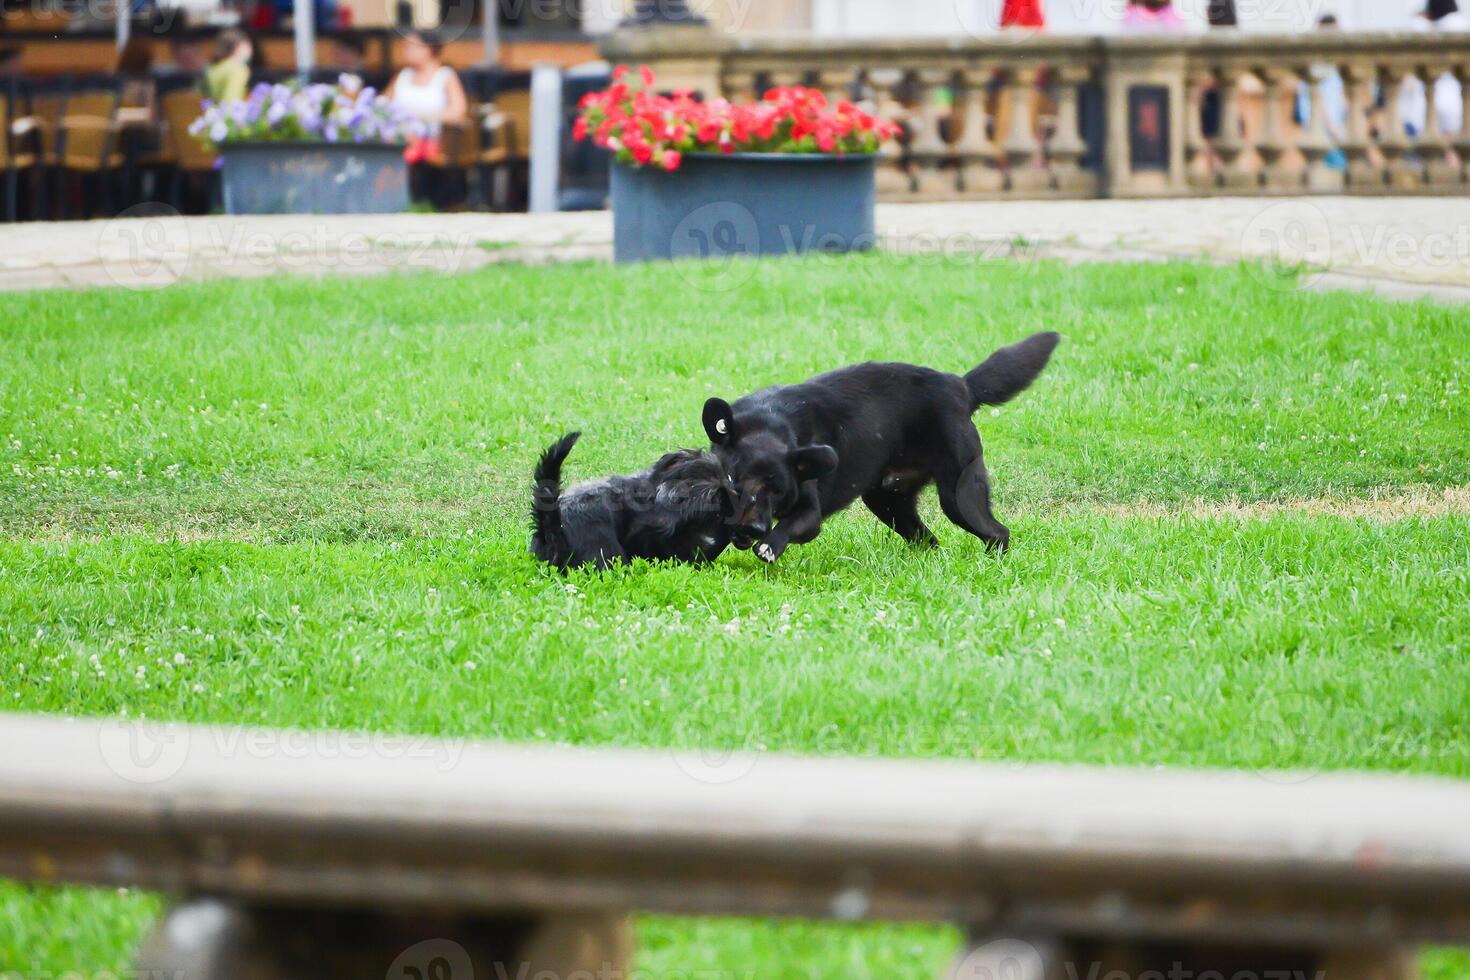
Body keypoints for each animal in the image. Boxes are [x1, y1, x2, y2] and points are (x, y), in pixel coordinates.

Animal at [699, 332, 1058, 564]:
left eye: (777, 491)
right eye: (733, 481)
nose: (754, 529)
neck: (768, 421)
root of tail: (961, 386)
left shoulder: (810, 515)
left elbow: (788, 526)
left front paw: (770, 546)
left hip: (959, 495)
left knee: (997, 532)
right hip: (888, 501)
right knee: (929, 540)